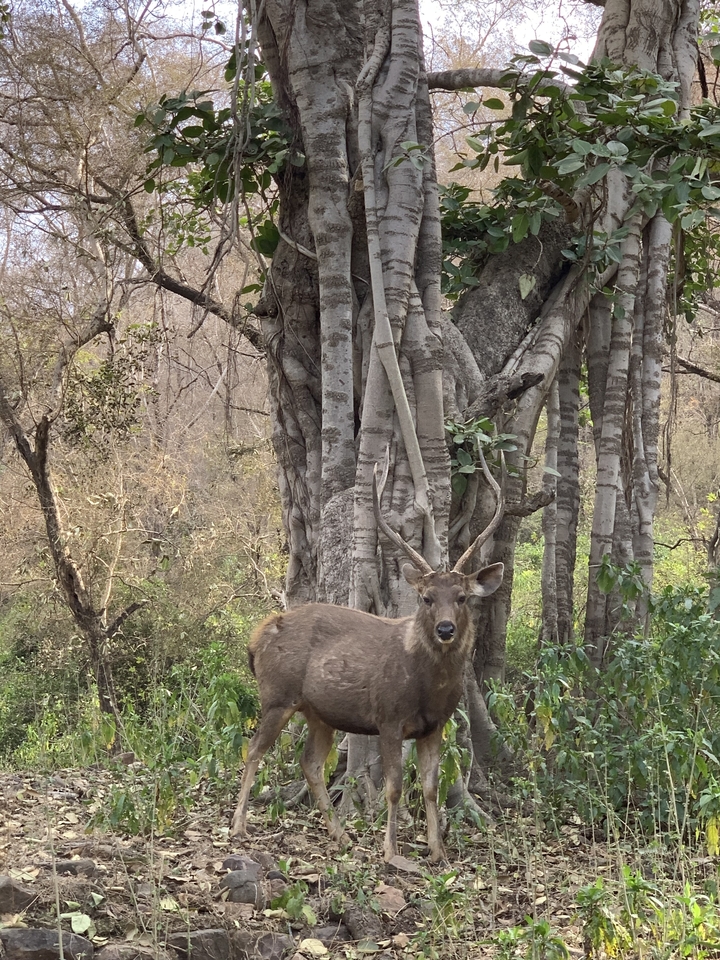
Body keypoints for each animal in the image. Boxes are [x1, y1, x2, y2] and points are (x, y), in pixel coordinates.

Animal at [231, 451, 504, 863]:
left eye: (461, 597)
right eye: (426, 598)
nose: (445, 629)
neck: (428, 687)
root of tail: (257, 635)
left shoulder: (435, 725)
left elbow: (429, 787)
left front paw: (437, 851)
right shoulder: (388, 717)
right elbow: (394, 786)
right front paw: (392, 852)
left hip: (319, 711)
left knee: (310, 762)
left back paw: (340, 835)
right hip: (278, 695)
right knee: (252, 751)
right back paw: (238, 826)